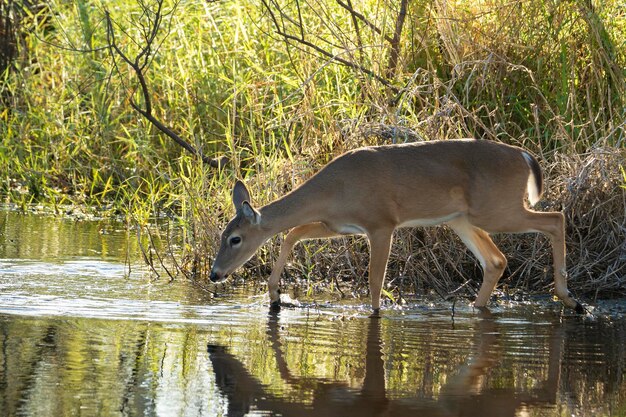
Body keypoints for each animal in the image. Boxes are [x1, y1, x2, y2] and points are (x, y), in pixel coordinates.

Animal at [211, 138, 584, 314]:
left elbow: (375, 280)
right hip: (462, 219)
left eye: (235, 239)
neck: (333, 189)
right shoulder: (340, 224)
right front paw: (275, 295)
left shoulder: (381, 222)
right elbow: (294, 231)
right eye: (221, 235)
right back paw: (475, 308)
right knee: (496, 260)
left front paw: (375, 312)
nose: (214, 274)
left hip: (495, 210)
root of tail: (525, 156)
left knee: (555, 219)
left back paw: (570, 299)